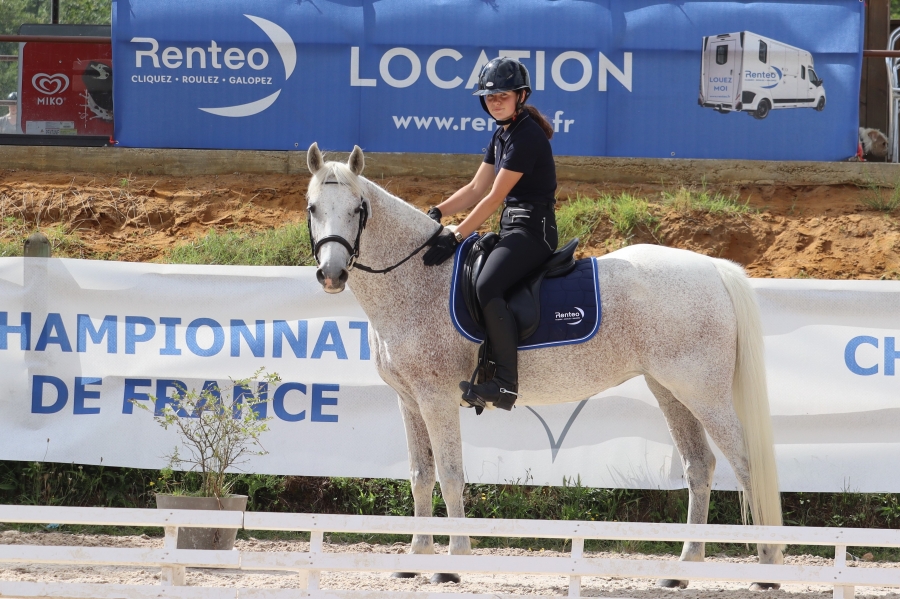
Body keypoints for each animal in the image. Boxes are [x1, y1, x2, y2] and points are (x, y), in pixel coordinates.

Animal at [306, 145, 784, 592]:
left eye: (357, 209)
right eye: (313, 208)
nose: (331, 275)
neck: (419, 279)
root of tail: (714, 268)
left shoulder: (436, 399)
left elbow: (450, 475)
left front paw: (451, 561)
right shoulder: (409, 400)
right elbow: (420, 477)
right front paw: (414, 558)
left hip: (704, 393)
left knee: (747, 465)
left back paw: (767, 567)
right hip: (670, 389)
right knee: (699, 466)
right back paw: (684, 568)